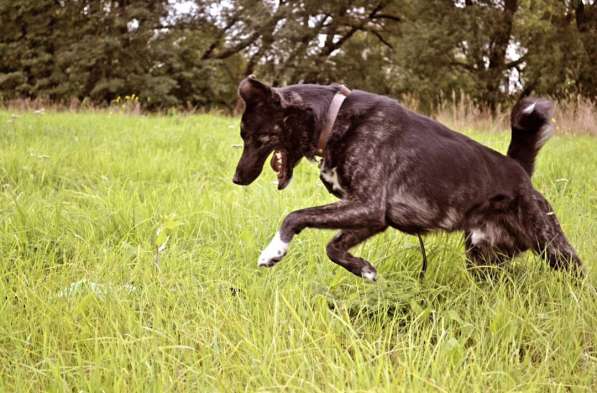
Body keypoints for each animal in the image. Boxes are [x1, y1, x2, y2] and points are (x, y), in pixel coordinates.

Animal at [232, 76, 584, 278]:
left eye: (255, 137)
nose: (237, 179)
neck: (333, 118)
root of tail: (519, 171)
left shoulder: (368, 205)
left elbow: (295, 216)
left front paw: (274, 250)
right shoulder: (372, 216)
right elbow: (333, 247)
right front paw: (364, 270)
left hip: (553, 248)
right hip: (483, 258)